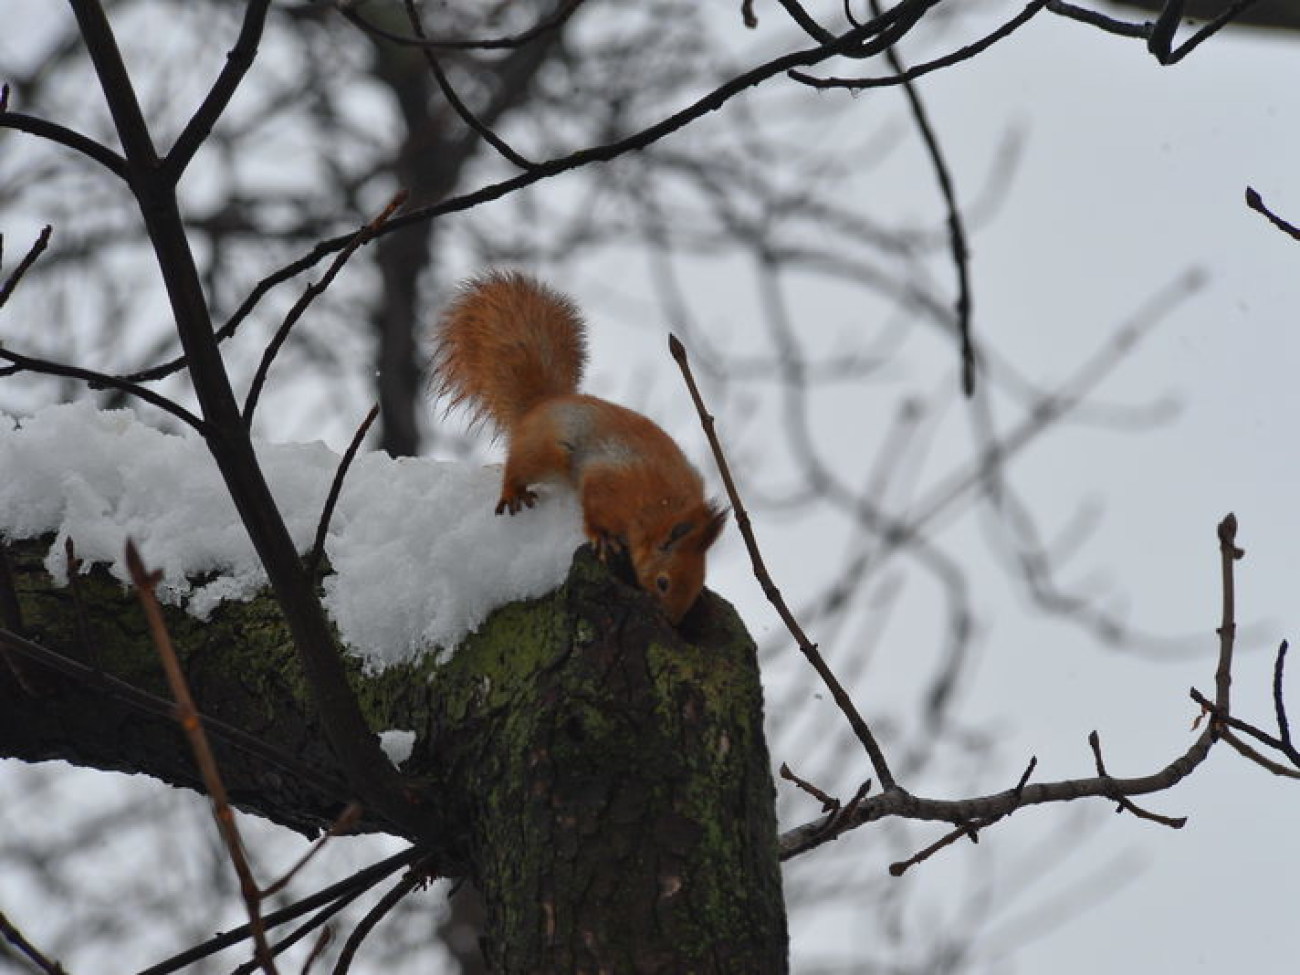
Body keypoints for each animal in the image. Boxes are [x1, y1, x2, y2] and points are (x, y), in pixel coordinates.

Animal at [434, 271, 728, 621]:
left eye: (694, 589)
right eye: (663, 582)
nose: (671, 620)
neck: (658, 507)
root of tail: (542, 405)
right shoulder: (607, 485)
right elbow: (593, 511)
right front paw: (602, 538)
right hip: (540, 455)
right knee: (516, 469)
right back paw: (513, 493)